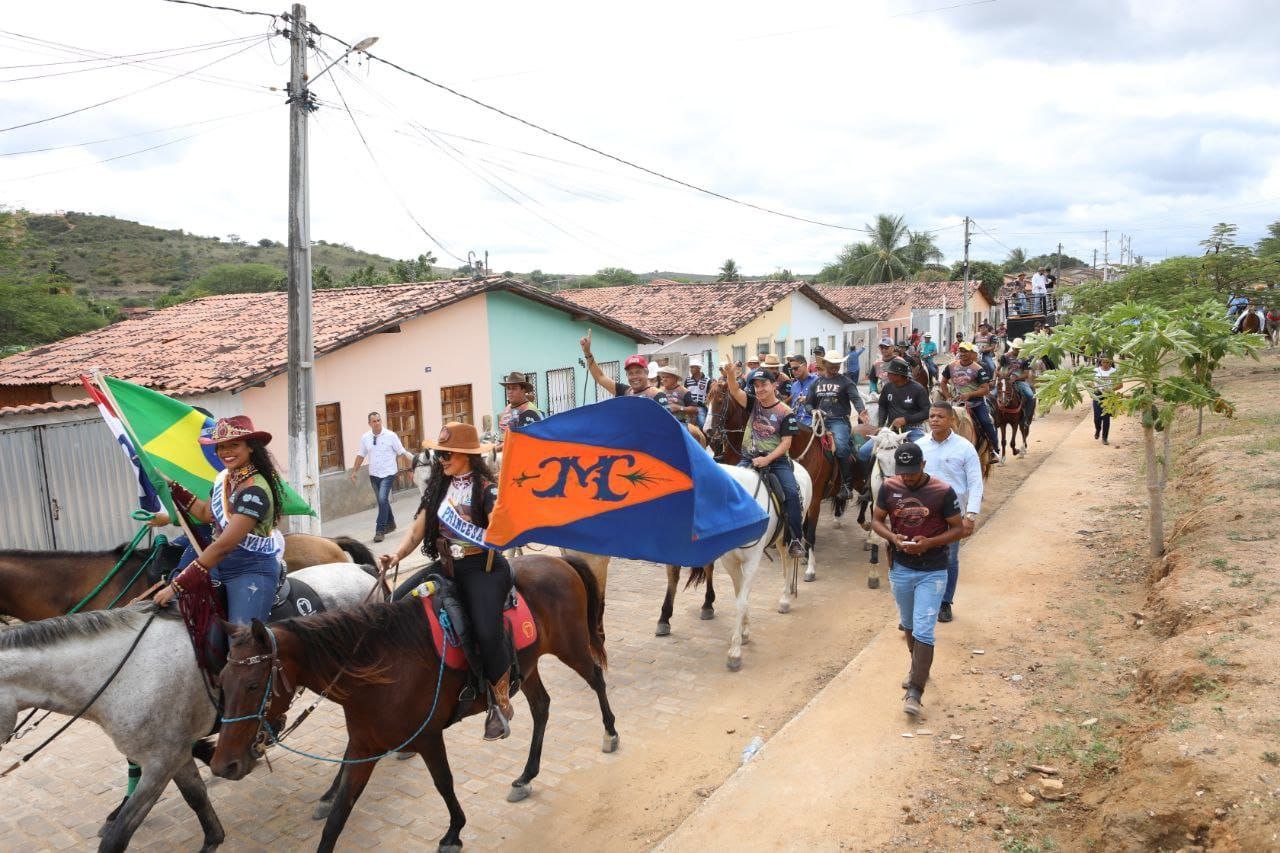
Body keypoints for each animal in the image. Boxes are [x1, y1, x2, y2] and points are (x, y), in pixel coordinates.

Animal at [0, 563, 378, 850]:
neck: (123, 670)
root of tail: (363, 570)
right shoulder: (173, 753)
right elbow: (196, 796)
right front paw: (213, 836)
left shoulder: (160, 761)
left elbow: (118, 837)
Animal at [207, 550, 616, 850]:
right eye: (222, 682)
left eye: (253, 685)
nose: (223, 764)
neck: (380, 667)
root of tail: (559, 561)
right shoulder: (363, 747)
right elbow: (338, 816)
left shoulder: (428, 736)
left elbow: (444, 782)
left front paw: (454, 832)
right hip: (527, 667)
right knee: (542, 706)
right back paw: (526, 775)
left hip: (570, 646)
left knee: (596, 678)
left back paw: (610, 733)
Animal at [716, 461, 814, 666]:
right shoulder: (730, 561)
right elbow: (740, 596)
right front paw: (744, 632)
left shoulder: (752, 561)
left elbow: (741, 601)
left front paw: (735, 652)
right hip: (781, 539)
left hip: (792, 532)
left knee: (791, 560)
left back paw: (785, 600)